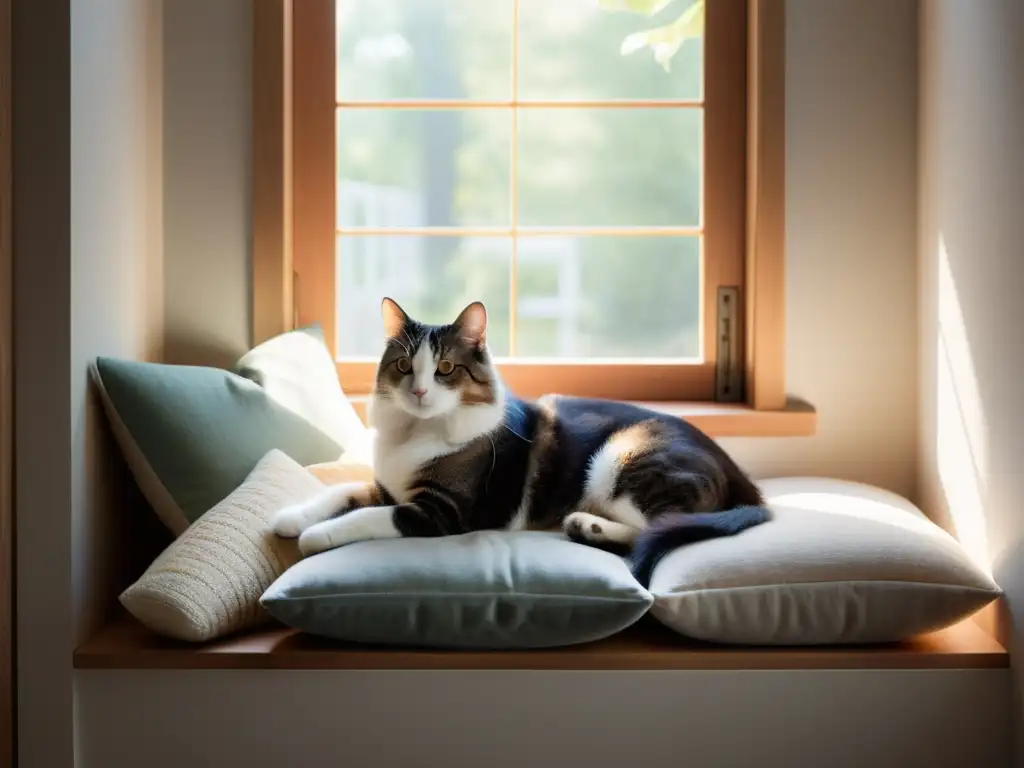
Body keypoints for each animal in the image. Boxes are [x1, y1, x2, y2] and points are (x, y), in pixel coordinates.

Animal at [272, 296, 770, 585]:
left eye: (445, 369)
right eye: (403, 366)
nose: (419, 392)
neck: (417, 432)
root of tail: (741, 476)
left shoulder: (441, 511)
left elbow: (367, 517)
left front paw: (315, 536)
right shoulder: (386, 486)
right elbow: (341, 491)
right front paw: (289, 517)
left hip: (624, 459)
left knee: (661, 525)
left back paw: (588, 525)